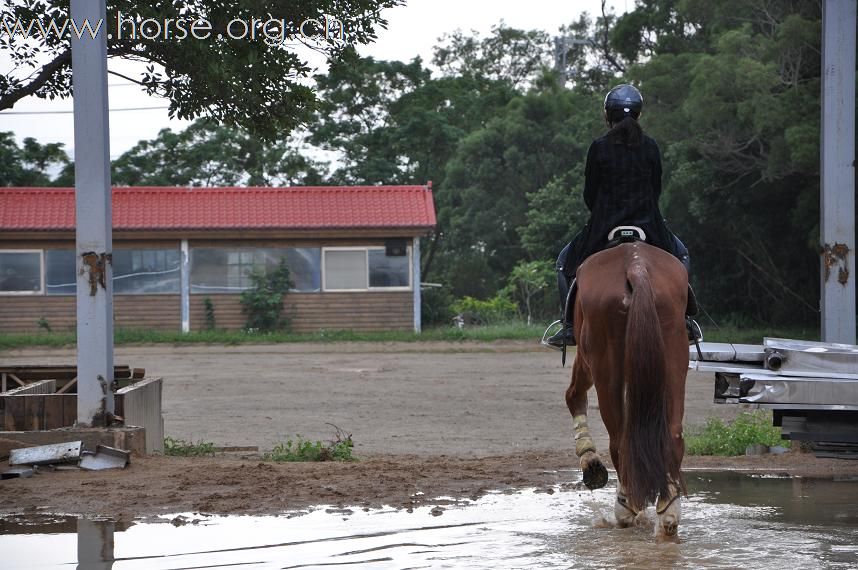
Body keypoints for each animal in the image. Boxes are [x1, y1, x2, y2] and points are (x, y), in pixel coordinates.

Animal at [560, 240, 688, 536]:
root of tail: (635, 264)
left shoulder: (585, 359)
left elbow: (573, 395)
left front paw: (589, 460)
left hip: (605, 367)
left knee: (619, 439)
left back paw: (626, 507)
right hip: (674, 357)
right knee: (673, 434)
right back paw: (668, 510)